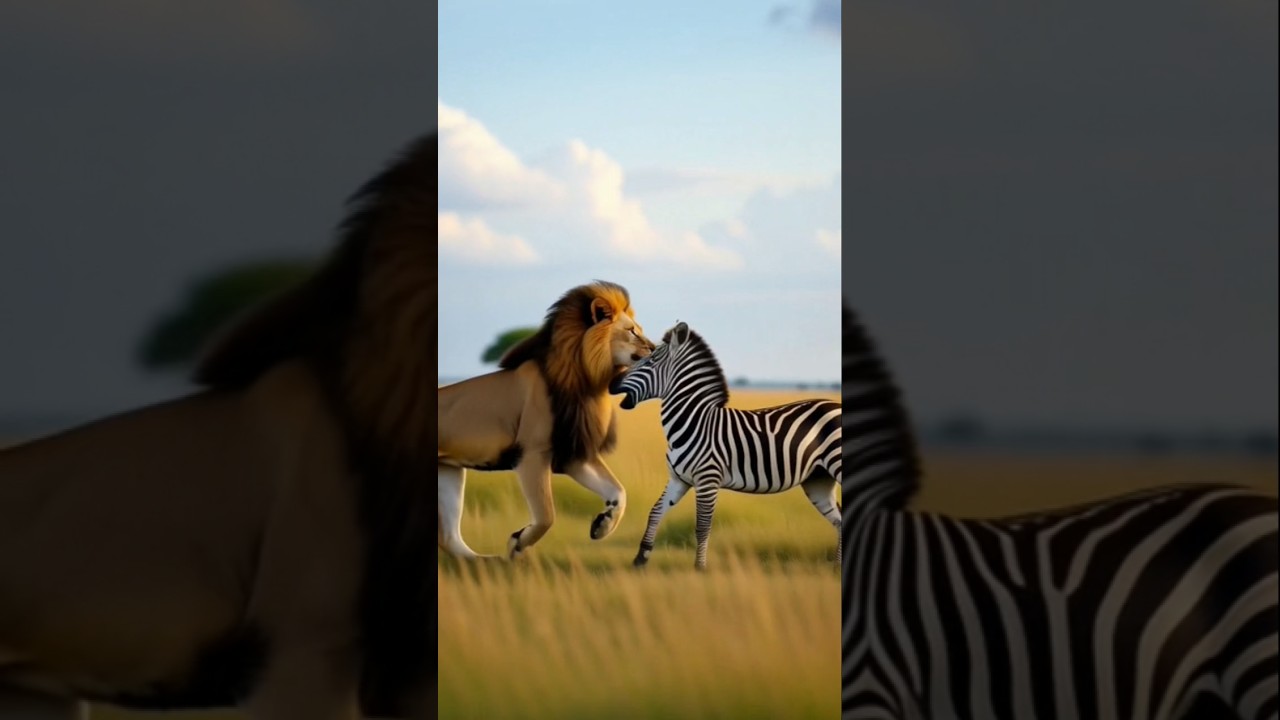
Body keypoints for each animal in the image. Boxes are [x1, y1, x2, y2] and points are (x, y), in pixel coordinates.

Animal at [437, 280, 655, 561]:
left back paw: (485, 562)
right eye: (632, 331)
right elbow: (547, 515)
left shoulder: (573, 454)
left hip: (449, 470)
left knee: (449, 537)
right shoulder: (532, 452)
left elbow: (619, 492)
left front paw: (602, 525)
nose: (655, 348)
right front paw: (517, 543)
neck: (586, 383)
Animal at [610, 320, 842, 570]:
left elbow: (703, 526)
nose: (611, 383)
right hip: (818, 479)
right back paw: (837, 568)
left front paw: (699, 568)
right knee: (840, 519)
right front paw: (640, 559)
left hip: (836, 464)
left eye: (650, 361)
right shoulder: (679, 479)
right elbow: (655, 512)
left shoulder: (708, 480)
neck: (694, 422)